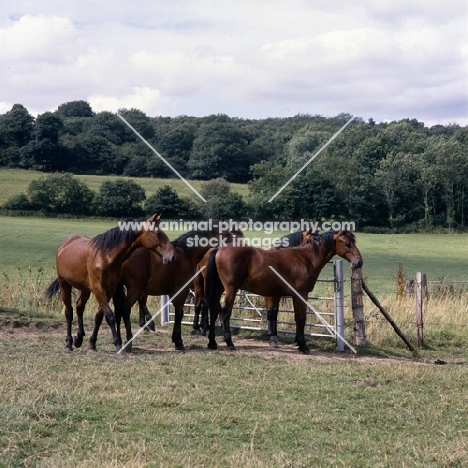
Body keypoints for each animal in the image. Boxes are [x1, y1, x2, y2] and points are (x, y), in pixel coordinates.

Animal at [45, 213, 176, 354]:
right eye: (156, 233)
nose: (172, 256)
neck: (106, 256)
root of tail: (64, 244)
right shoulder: (99, 289)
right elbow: (110, 316)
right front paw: (118, 345)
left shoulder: (110, 289)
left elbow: (99, 316)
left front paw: (92, 344)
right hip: (65, 284)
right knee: (69, 312)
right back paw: (69, 343)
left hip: (85, 289)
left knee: (80, 307)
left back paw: (79, 339)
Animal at [112, 223, 238, 352]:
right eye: (232, 236)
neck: (186, 254)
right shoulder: (184, 290)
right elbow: (180, 313)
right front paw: (179, 340)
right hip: (135, 289)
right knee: (126, 308)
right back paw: (131, 339)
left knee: (119, 310)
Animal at [207, 230, 364, 354]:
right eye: (347, 244)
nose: (359, 262)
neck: (304, 259)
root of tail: (219, 249)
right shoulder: (300, 294)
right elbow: (301, 319)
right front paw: (303, 346)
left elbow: (291, 318)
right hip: (231, 289)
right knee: (225, 312)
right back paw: (229, 343)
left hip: (219, 289)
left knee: (214, 310)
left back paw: (212, 342)